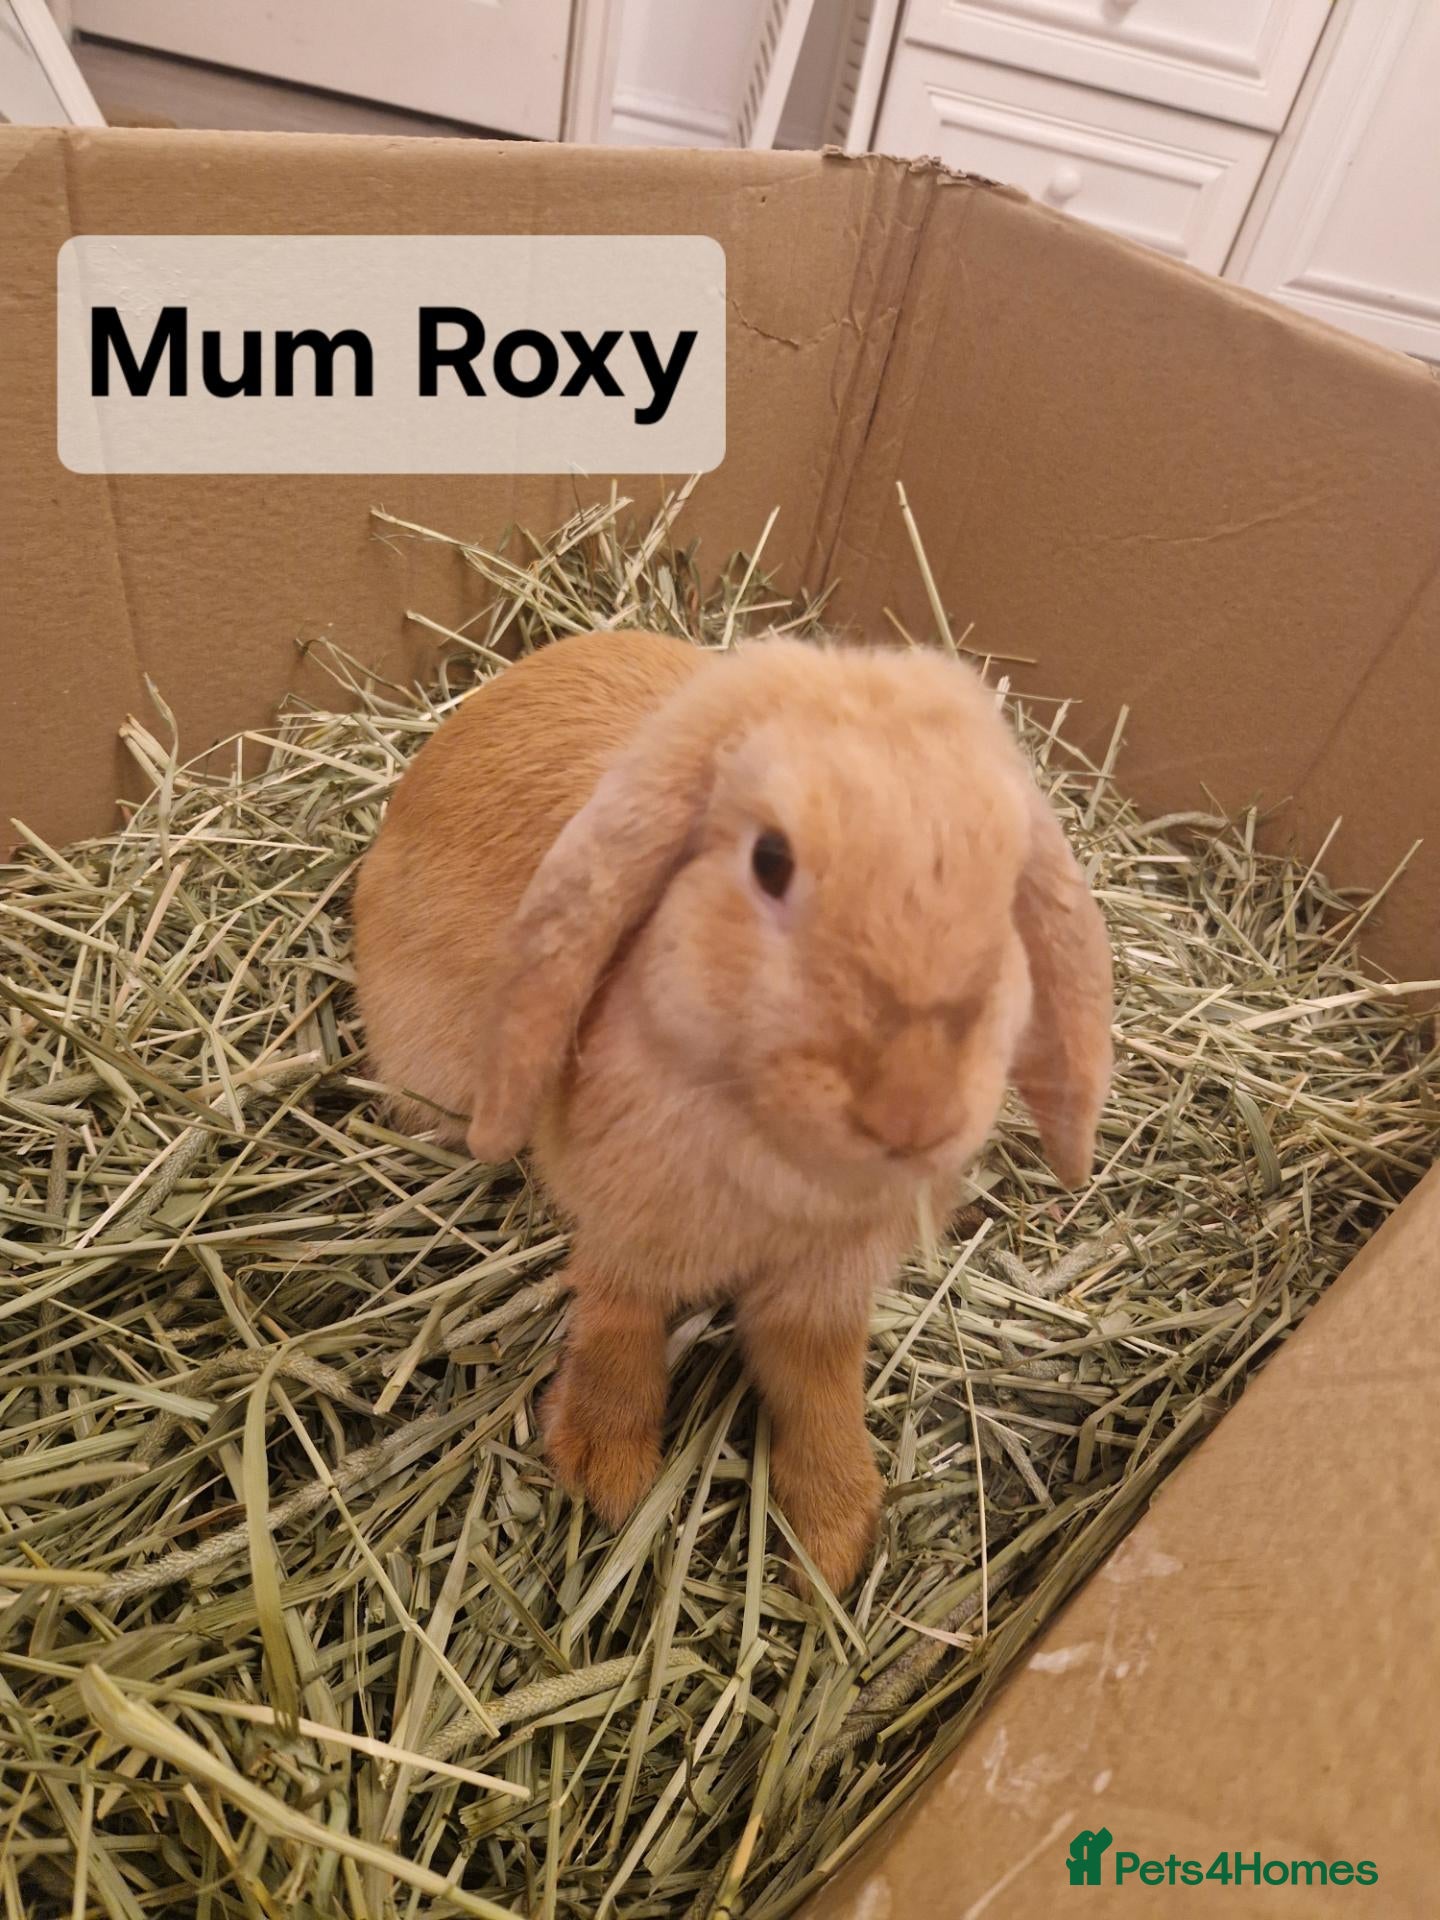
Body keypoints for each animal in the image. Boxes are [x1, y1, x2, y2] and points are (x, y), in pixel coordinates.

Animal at [352, 625, 1113, 1595]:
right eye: (769, 861)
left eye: (1006, 883)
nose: (912, 1112)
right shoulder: (627, 1231)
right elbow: (617, 1317)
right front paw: (604, 1470)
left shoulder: (826, 1289)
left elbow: (818, 1381)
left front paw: (834, 1536)